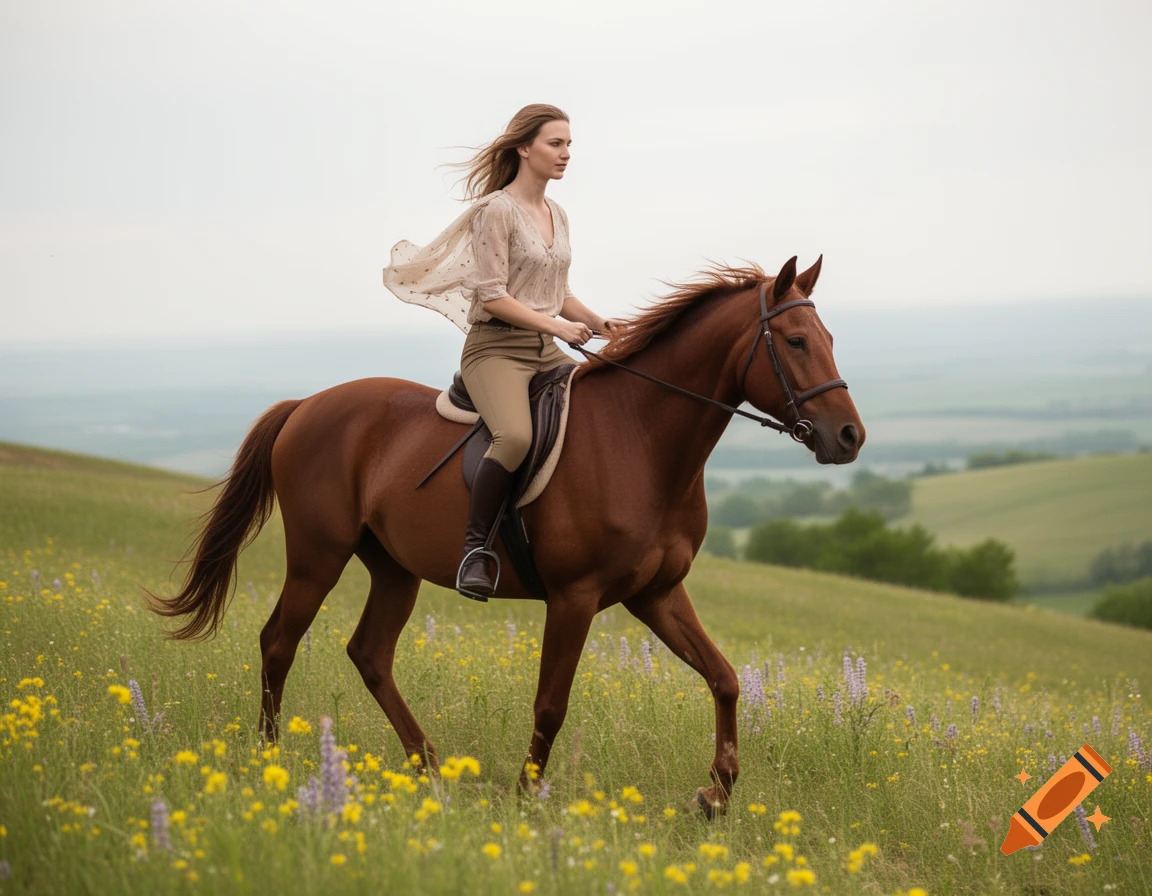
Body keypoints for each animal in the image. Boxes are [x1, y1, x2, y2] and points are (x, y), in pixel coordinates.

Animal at [147, 255, 864, 815]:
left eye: (828, 335)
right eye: (795, 342)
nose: (850, 437)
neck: (641, 438)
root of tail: (305, 406)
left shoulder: (657, 595)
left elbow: (725, 679)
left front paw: (716, 794)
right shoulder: (575, 598)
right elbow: (551, 704)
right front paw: (526, 798)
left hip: (393, 568)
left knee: (369, 652)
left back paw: (429, 767)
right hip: (318, 556)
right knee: (278, 642)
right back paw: (269, 764)